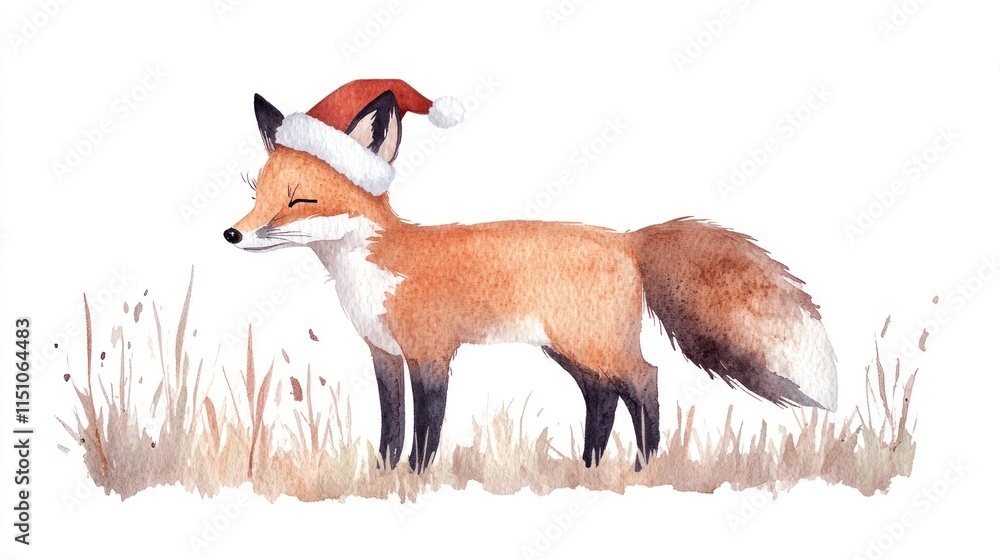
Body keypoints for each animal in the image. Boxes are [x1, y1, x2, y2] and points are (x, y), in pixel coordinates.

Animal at [224, 80, 837, 473]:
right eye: (256, 194)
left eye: (300, 200)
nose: (231, 235)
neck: (373, 268)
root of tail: (628, 239)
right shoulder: (384, 355)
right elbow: (391, 427)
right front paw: (380, 478)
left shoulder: (430, 353)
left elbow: (426, 428)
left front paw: (414, 481)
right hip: (569, 350)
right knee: (602, 399)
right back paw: (590, 468)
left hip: (597, 345)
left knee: (645, 382)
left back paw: (643, 468)